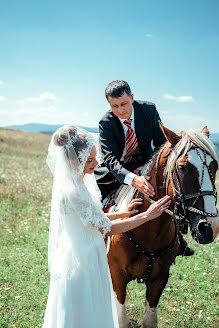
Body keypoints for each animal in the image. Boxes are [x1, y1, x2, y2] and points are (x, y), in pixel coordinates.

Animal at [107, 123, 218, 328]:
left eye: (215, 165)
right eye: (182, 167)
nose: (209, 228)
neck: (148, 231)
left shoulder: (159, 279)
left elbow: (149, 320)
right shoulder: (117, 277)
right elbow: (121, 320)